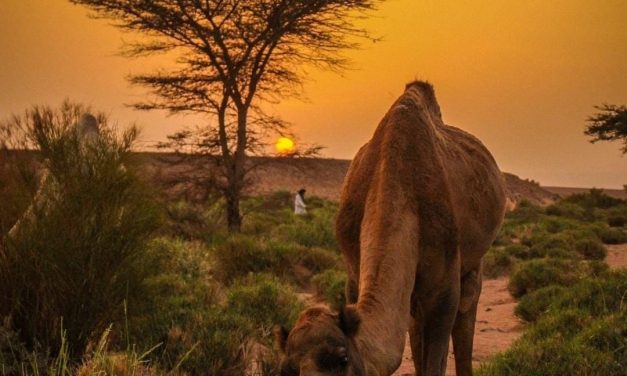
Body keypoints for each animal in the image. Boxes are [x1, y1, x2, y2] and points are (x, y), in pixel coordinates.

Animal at [278, 81, 508, 374]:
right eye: (286, 369)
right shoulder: (354, 274)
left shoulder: (444, 289)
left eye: (342, 358)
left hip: (472, 264)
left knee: (467, 309)